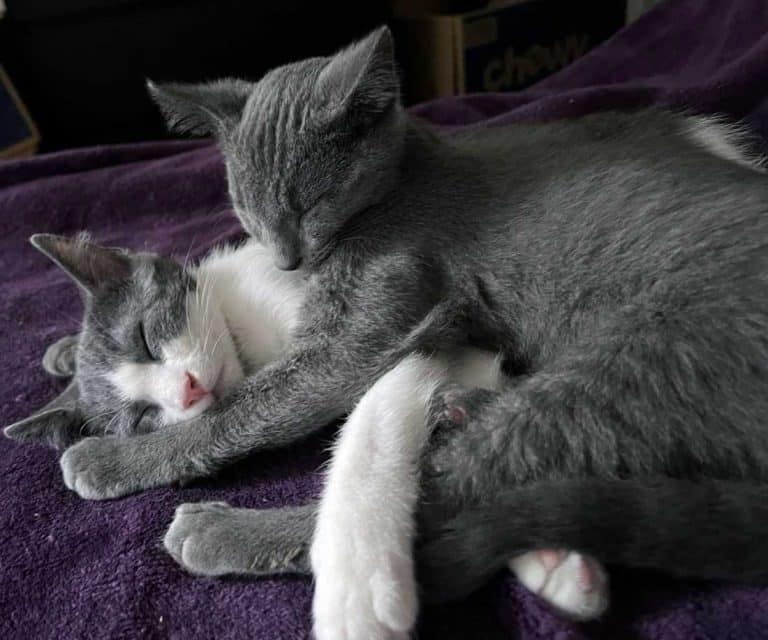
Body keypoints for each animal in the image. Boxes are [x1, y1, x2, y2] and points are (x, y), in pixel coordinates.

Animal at [6, 233, 608, 624]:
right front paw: (64, 356)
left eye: (146, 337)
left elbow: (356, 433)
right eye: (140, 416)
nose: (188, 392)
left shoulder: (407, 333)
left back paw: (221, 533)